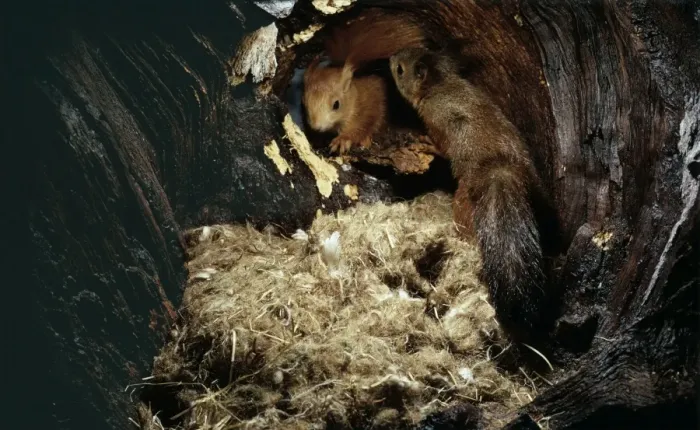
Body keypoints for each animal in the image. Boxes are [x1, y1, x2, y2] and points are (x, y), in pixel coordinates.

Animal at [302, 9, 425, 154]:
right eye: (304, 104)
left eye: (336, 105)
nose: (317, 127)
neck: (355, 97)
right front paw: (316, 138)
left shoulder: (364, 112)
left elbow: (358, 128)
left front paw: (342, 140)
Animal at [389, 47, 553, 342]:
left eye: (400, 69)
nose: (389, 58)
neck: (441, 83)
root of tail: (502, 168)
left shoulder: (437, 123)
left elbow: (439, 145)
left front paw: (424, 143)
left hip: (463, 203)